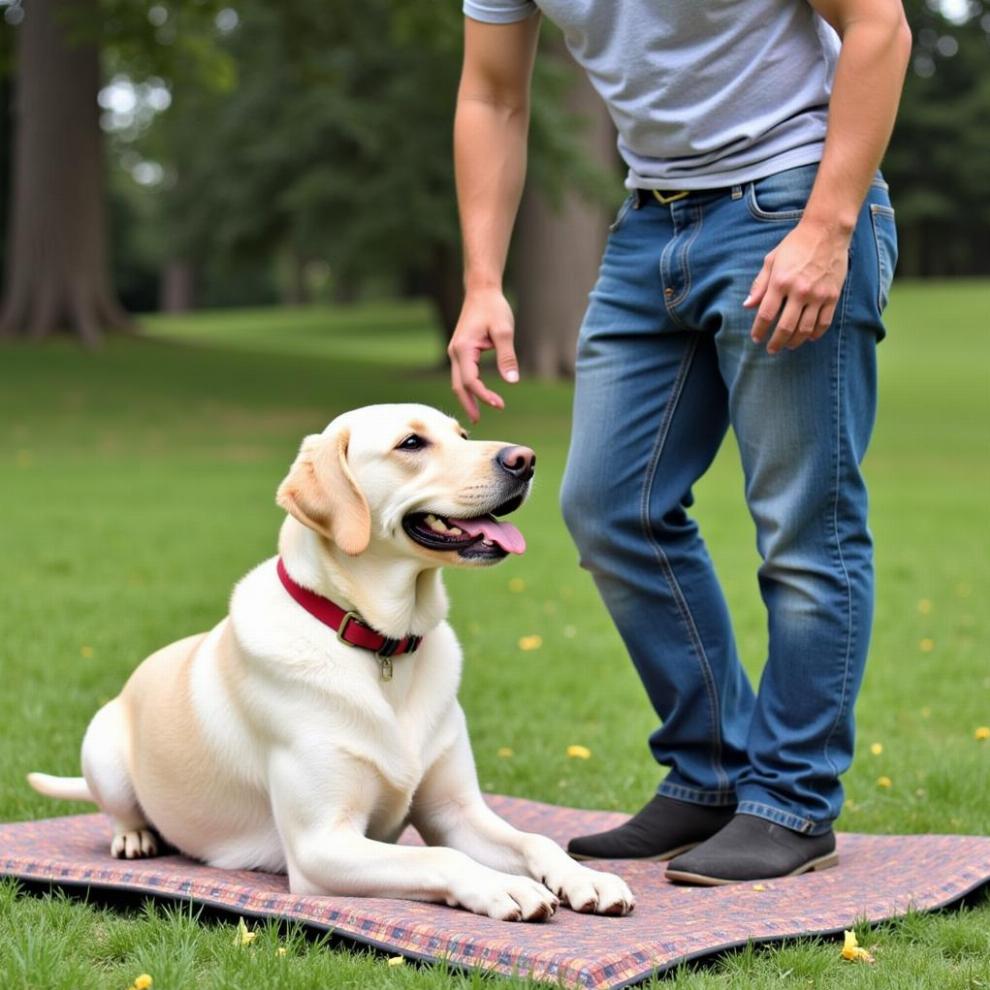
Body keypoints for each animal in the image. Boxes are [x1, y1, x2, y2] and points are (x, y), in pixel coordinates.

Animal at [31, 404, 640, 924]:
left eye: (463, 434)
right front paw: (505, 887)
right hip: (103, 745)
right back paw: (134, 836)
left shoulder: (456, 811)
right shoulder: (320, 844)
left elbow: (534, 838)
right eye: (411, 443)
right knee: (122, 810)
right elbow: (439, 858)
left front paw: (584, 877)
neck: (380, 645)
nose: (525, 459)